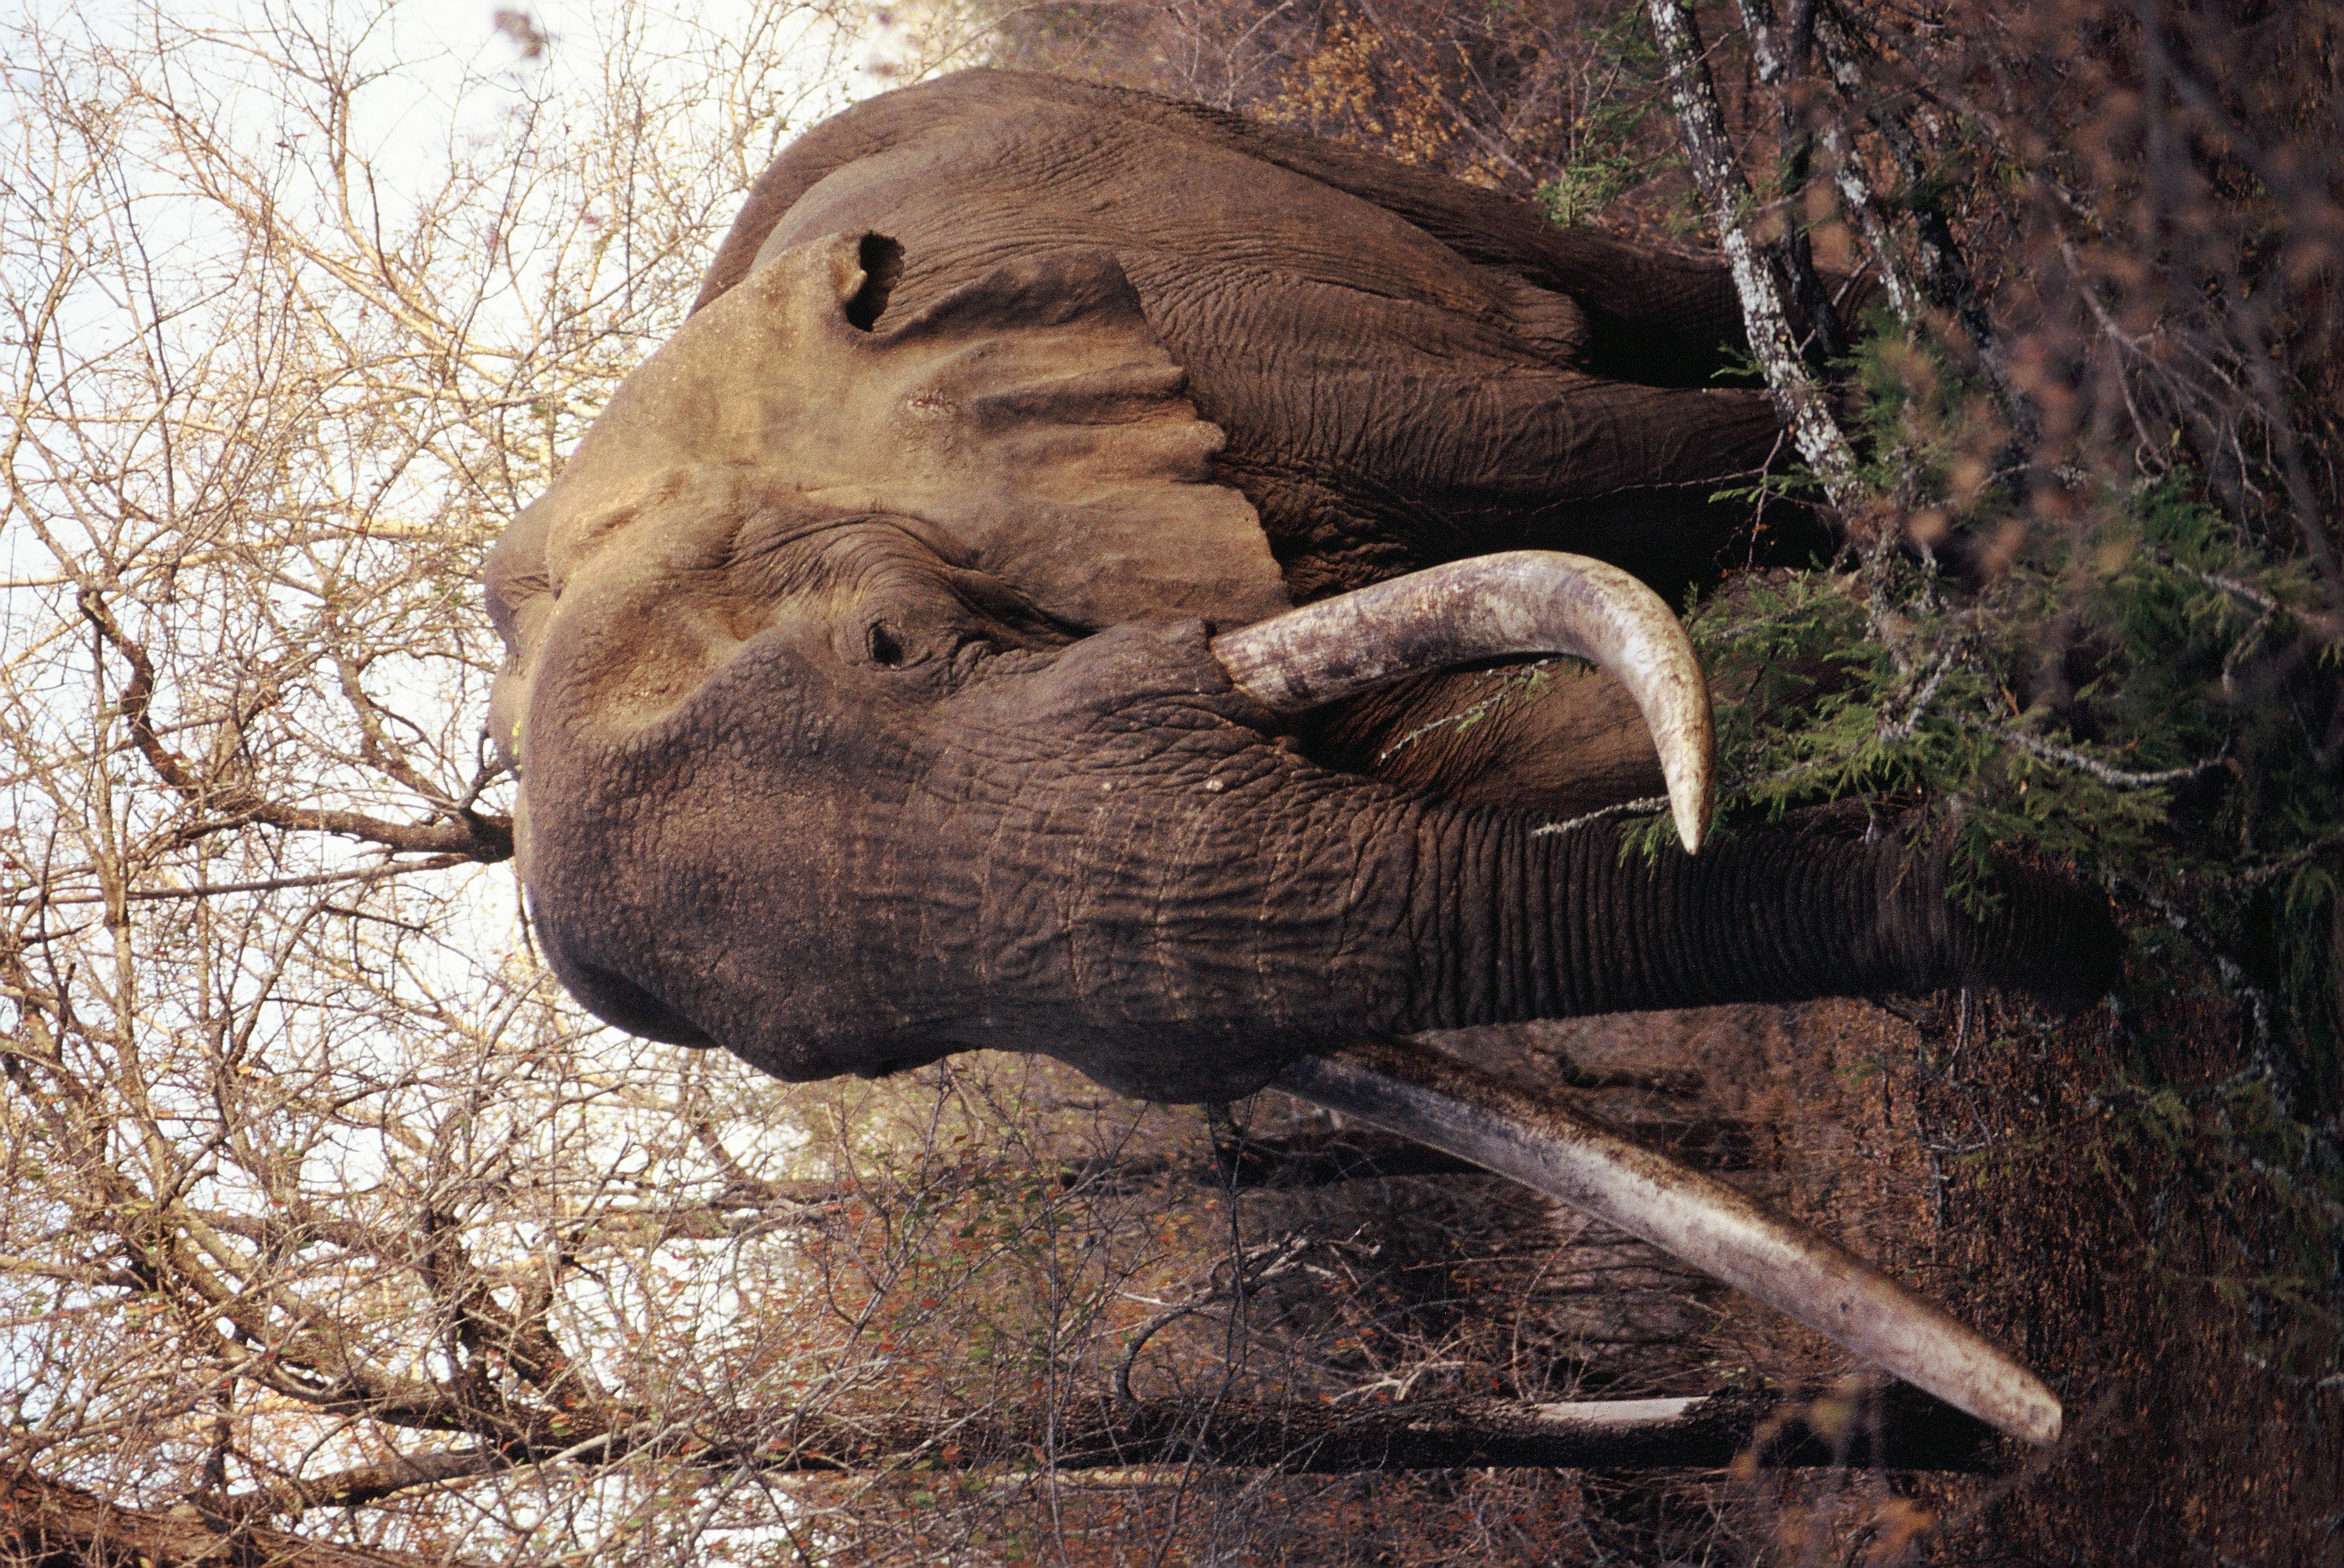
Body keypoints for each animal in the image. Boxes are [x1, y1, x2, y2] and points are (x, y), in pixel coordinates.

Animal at [484, 70, 2116, 1442]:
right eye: (867, 1060)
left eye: (893, 639)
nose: (2054, 922)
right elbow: (1519, 760)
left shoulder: (1226, 348)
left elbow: (1603, 463)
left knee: (1607, 308)